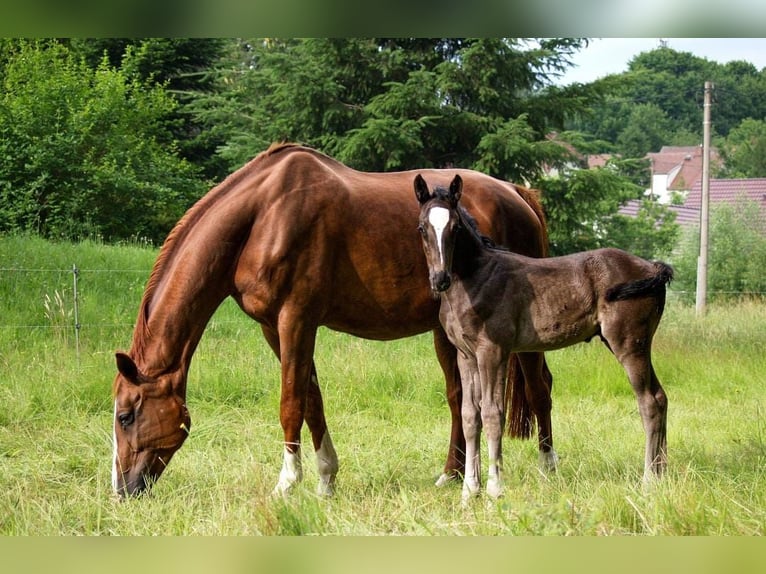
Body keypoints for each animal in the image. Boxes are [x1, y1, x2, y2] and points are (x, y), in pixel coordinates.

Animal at [111, 143, 557, 498]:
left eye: (126, 416)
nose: (122, 490)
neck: (263, 216)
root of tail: (517, 194)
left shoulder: (296, 320)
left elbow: (291, 403)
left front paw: (287, 484)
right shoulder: (275, 328)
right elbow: (312, 398)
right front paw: (326, 478)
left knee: (539, 388)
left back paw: (547, 468)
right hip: (447, 332)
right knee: (459, 396)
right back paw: (452, 474)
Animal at [414, 173, 672, 503]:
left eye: (455, 227)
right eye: (422, 228)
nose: (440, 280)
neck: (475, 279)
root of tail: (652, 268)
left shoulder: (492, 351)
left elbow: (493, 413)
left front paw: (495, 489)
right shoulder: (466, 354)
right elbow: (471, 416)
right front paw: (469, 491)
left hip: (629, 344)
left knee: (649, 402)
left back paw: (649, 480)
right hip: (638, 345)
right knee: (661, 397)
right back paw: (663, 474)